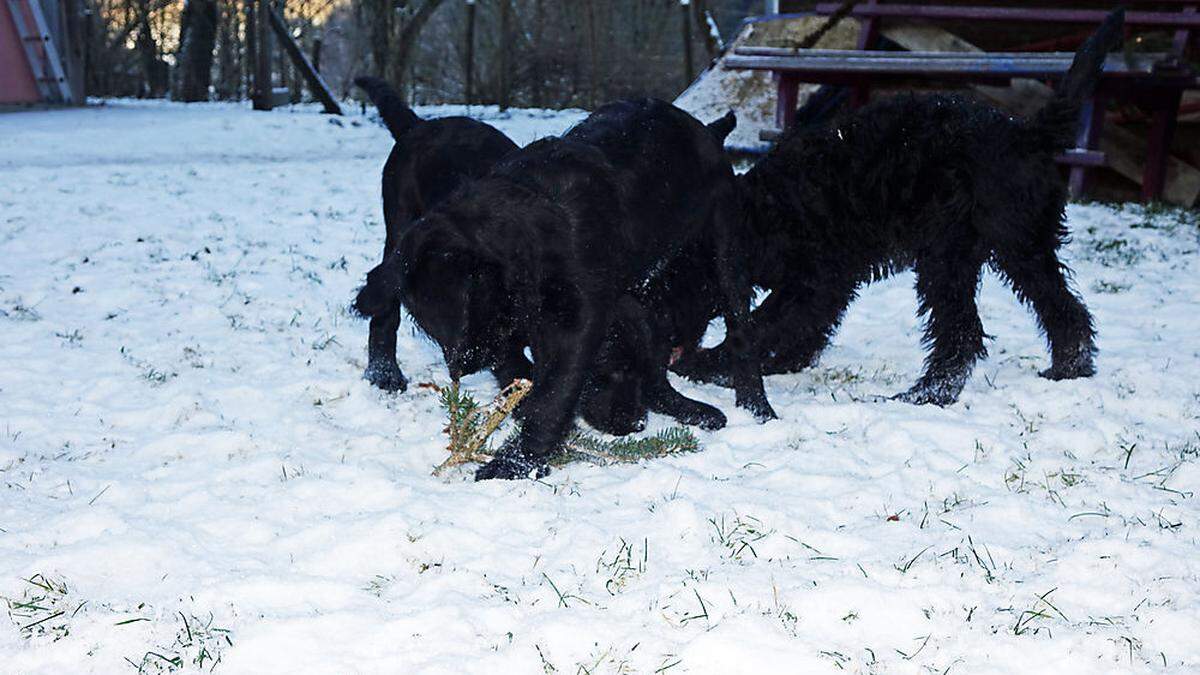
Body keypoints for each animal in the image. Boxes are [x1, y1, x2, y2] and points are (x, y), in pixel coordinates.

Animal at [672, 10, 1118, 401]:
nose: (672, 348)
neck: (757, 215)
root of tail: (1025, 133)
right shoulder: (830, 283)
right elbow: (808, 326)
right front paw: (781, 363)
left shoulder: (811, 281)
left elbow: (764, 323)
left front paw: (709, 364)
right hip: (1021, 247)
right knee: (1063, 309)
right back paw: (1068, 369)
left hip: (952, 254)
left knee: (962, 333)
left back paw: (926, 395)